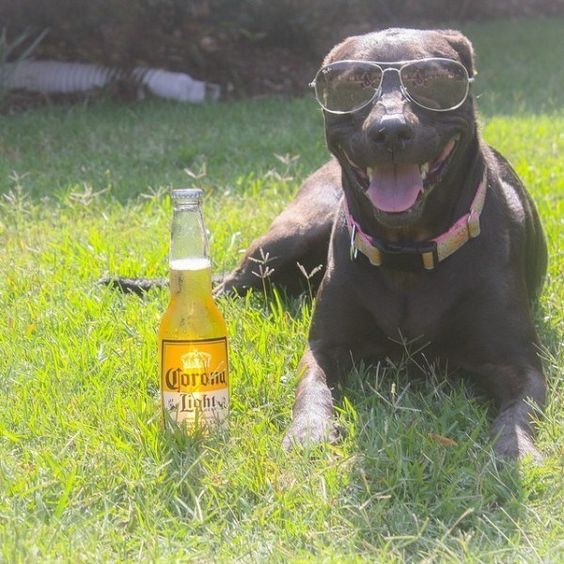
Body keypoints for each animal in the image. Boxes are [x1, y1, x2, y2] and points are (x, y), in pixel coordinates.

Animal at [215, 27, 548, 458]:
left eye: (429, 78)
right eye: (355, 83)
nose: (390, 130)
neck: (406, 253)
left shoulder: (519, 364)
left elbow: (517, 415)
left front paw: (512, 450)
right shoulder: (323, 347)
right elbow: (311, 389)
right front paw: (308, 432)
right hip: (290, 236)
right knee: (225, 285)